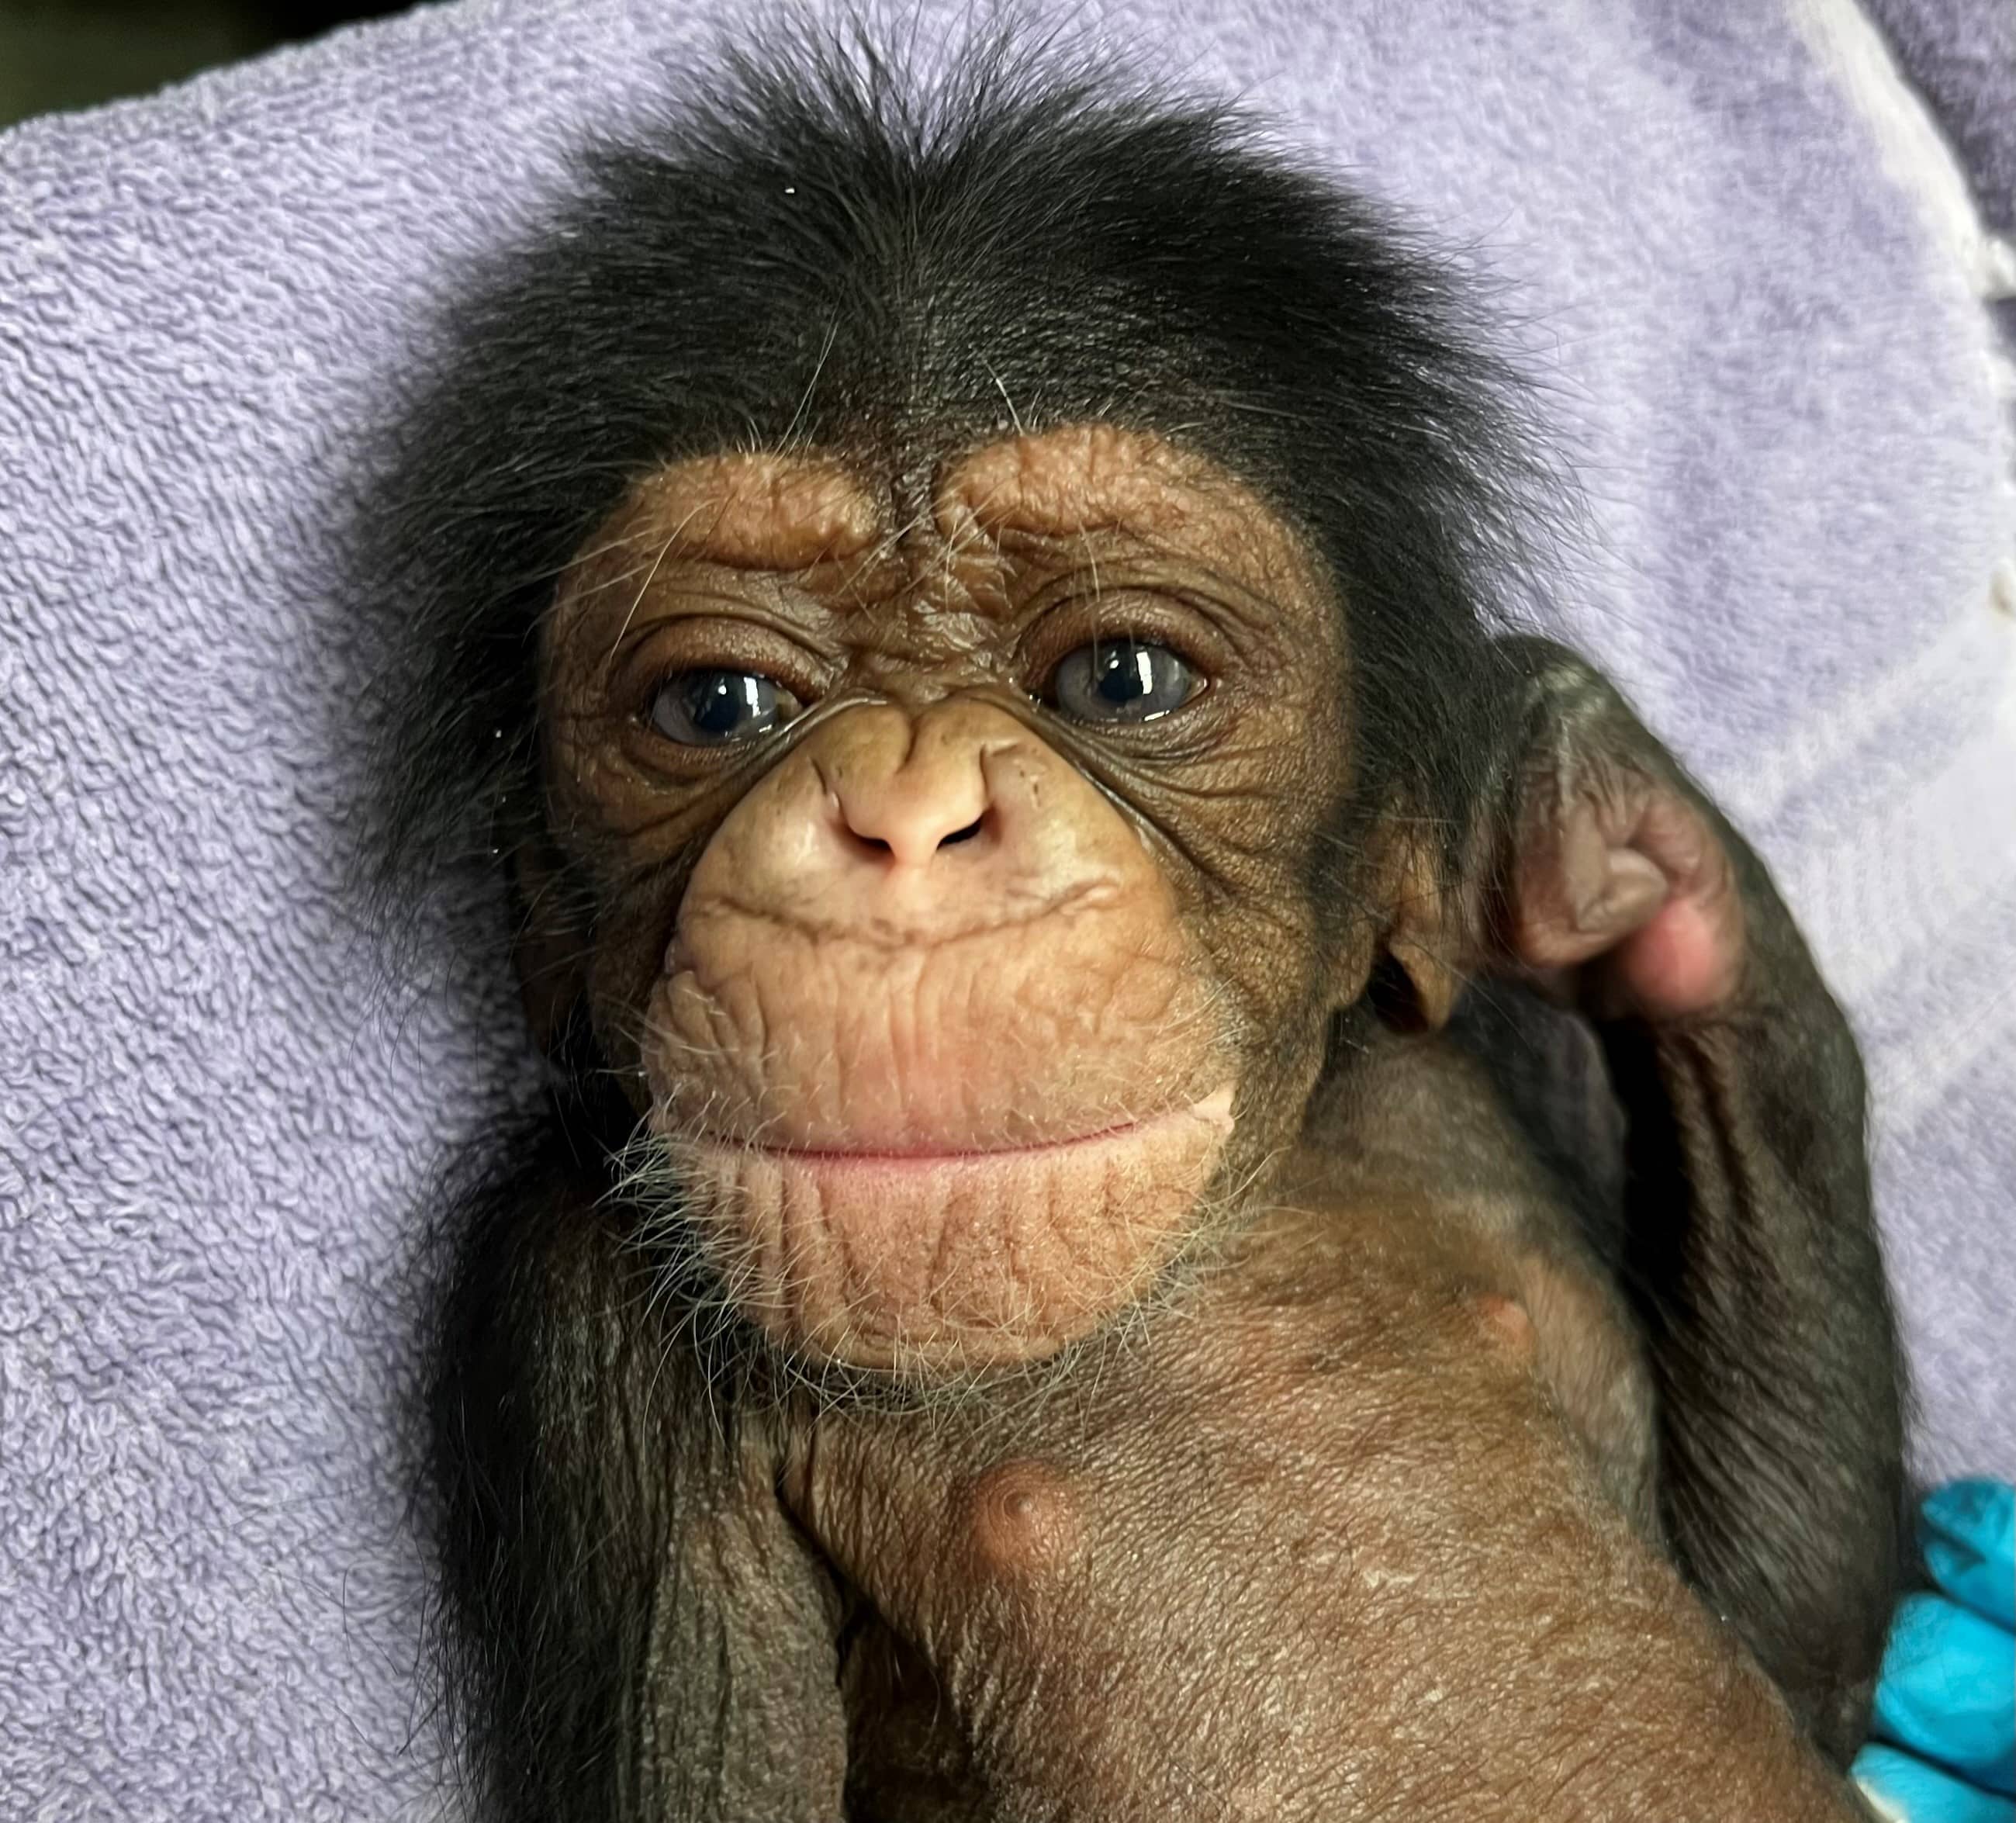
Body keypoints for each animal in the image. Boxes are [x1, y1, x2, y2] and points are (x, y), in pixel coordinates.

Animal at [369, 32, 1906, 1822]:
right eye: (718, 704)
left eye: (1122, 678)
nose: (907, 813)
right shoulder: (580, 1325)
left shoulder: (1443, 1106)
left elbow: (1798, 1643)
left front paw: (1604, 820)